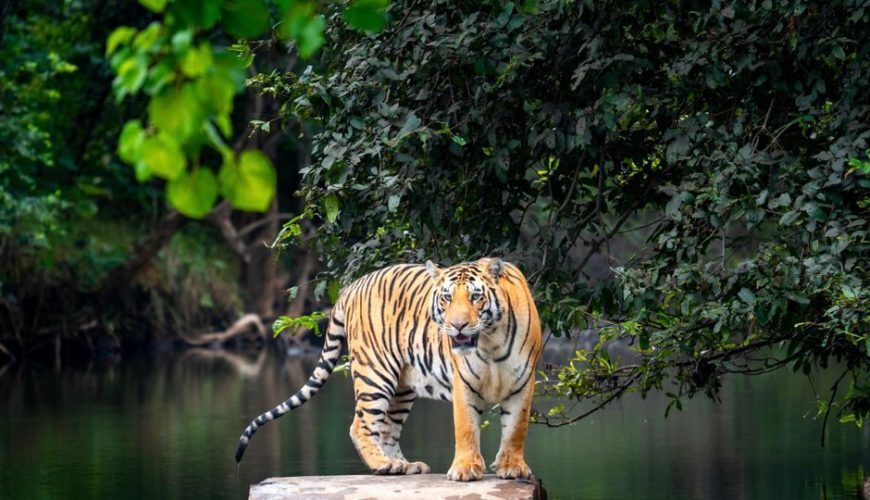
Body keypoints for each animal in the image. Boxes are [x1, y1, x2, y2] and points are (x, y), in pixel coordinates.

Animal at [235, 257, 543, 481]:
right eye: (446, 298)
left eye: (476, 297)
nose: (457, 325)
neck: (490, 342)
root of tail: (352, 285)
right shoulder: (464, 383)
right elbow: (466, 427)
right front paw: (466, 469)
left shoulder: (523, 382)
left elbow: (516, 429)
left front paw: (512, 468)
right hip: (375, 374)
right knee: (361, 425)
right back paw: (383, 464)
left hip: (402, 386)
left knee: (386, 429)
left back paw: (402, 465)